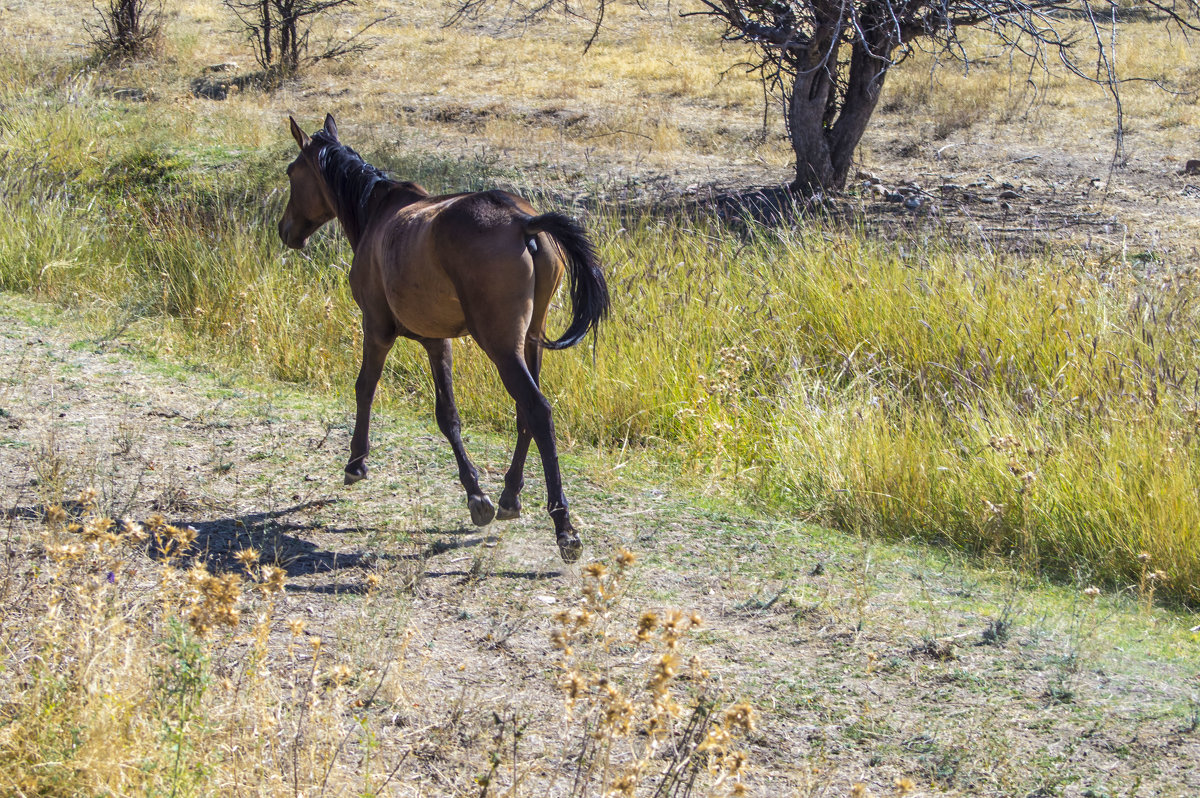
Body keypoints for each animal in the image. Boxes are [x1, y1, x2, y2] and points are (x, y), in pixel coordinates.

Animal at [279, 115, 609, 559]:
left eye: (292, 172)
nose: (286, 231)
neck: (377, 212)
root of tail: (524, 223)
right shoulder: (438, 342)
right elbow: (448, 416)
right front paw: (477, 497)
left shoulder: (376, 329)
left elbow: (365, 387)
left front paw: (356, 463)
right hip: (529, 343)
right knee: (525, 414)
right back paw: (510, 497)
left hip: (502, 347)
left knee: (538, 410)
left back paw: (563, 527)